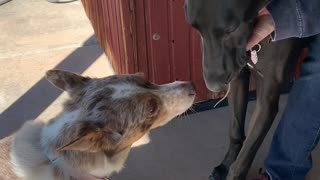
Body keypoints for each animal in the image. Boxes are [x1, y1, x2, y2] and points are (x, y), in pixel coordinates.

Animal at [184, 0, 306, 180]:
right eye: (196, 29)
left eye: (232, 30)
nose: (214, 86)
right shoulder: (237, 78)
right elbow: (235, 131)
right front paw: (225, 165)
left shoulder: (266, 99)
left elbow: (246, 155)